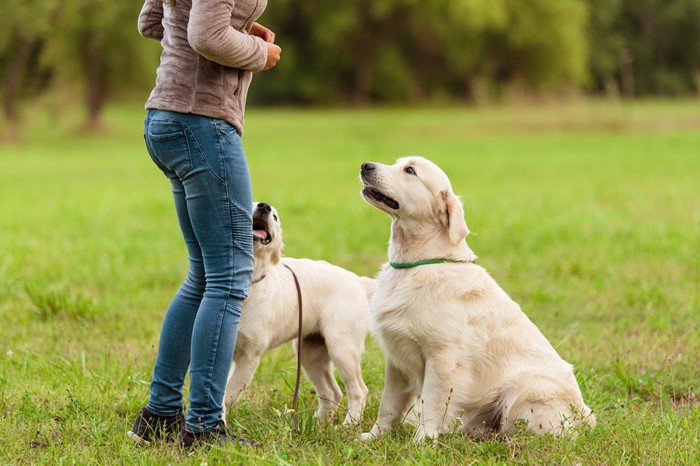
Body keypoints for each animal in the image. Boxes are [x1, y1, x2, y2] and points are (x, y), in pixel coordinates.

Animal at [226, 202, 374, 424]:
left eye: (275, 217)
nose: (264, 206)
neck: (248, 284)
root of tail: (359, 281)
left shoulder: (249, 355)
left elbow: (228, 394)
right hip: (310, 352)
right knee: (332, 392)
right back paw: (319, 424)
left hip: (342, 346)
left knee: (358, 390)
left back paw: (349, 425)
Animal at [358, 156, 592, 440]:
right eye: (397, 163)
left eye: (410, 170)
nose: (365, 165)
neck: (419, 264)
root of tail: (585, 416)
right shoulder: (396, 358)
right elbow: (388, 406)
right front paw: (374, 436)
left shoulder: (443, 358)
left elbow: (432, 403)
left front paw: (423, 439)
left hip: (524, 389)